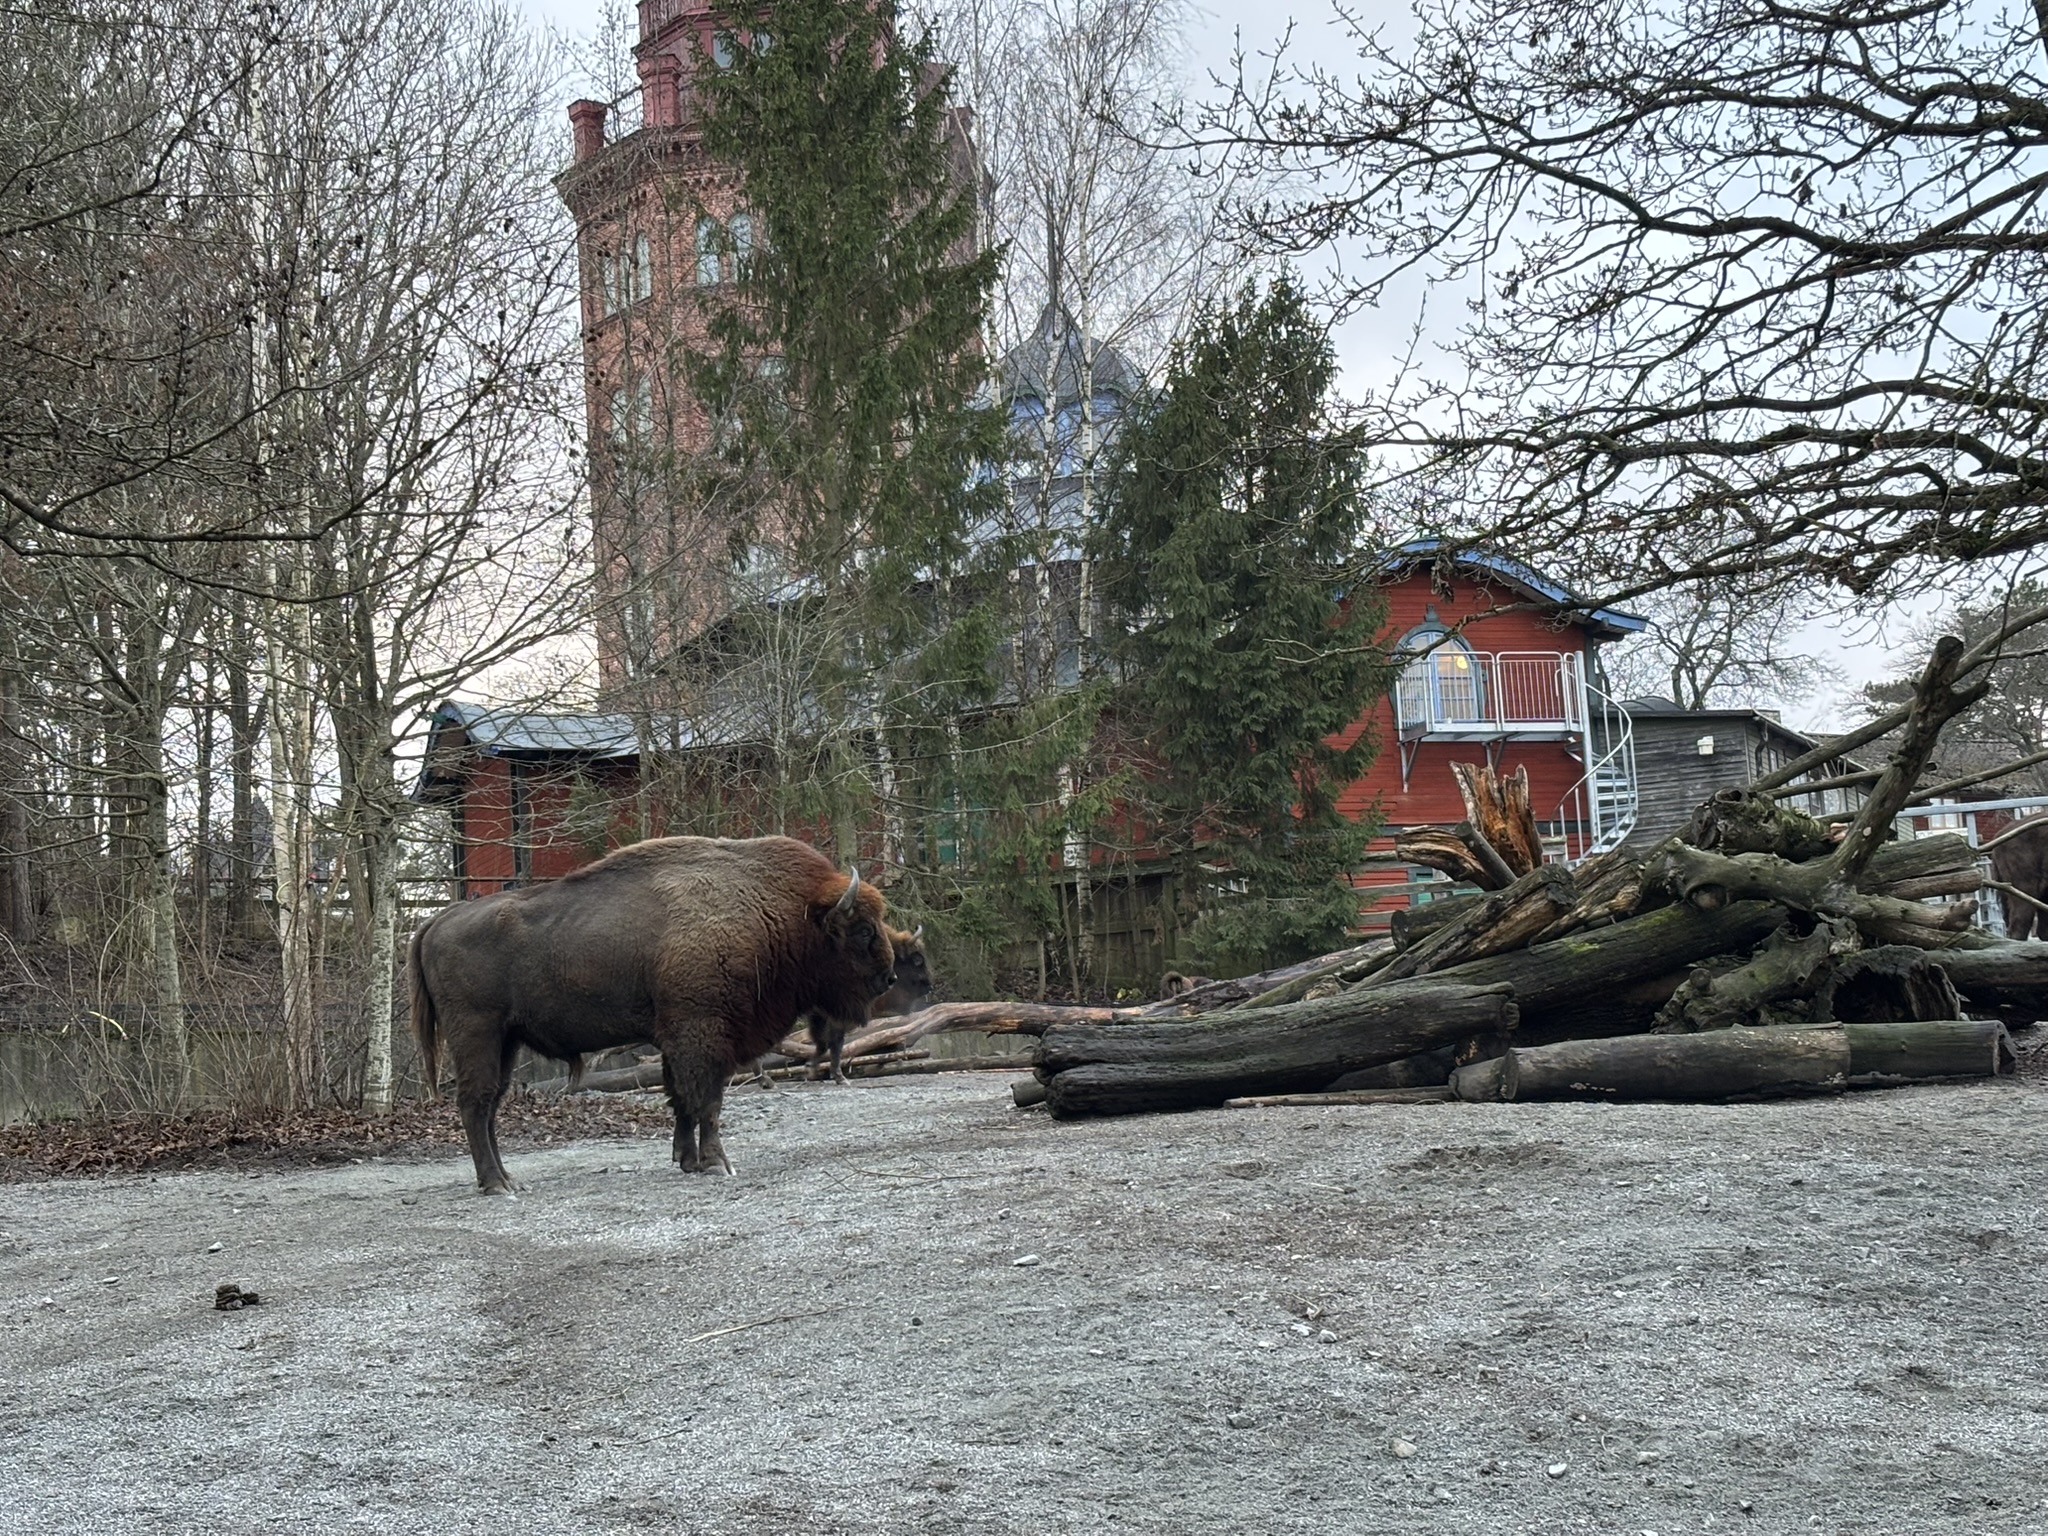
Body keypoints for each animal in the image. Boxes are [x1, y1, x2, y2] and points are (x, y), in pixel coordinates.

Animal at [409, 835, 897, 1191]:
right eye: (862, 930)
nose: (889, 977)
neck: (779, 912)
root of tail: (440, 918)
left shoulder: (676, 1039)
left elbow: (680, 1099)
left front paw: (688, 1161)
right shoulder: (703, 1034)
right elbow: (707, 1101)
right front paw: (717, 1164)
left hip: (505, 1041)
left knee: (490, 1104)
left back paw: (508, 1179)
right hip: (477, 1033)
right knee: (475, 1102)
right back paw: (497, 1185)